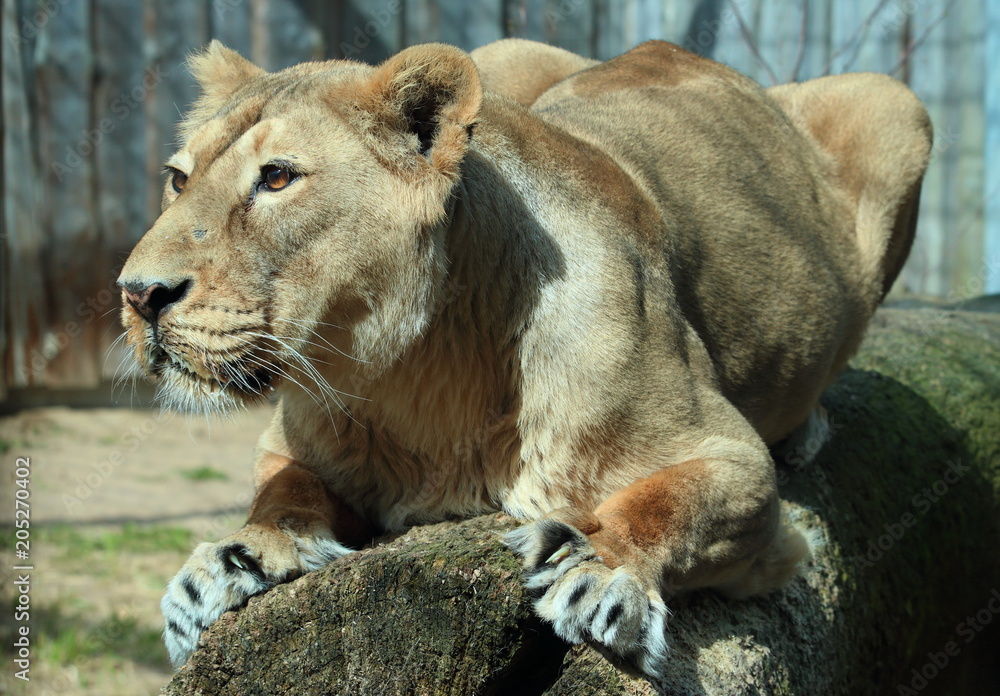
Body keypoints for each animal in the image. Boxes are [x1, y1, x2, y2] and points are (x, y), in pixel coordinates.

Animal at [118, 38, 931, 678]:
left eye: (278, 177)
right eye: (179, 179)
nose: (138, 294)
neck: (417, 382)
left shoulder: (736, 462)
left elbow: (668, 502)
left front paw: (595, 569)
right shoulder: (290, 441)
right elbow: (284, 494)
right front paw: (230, 564)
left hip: (894, 104)